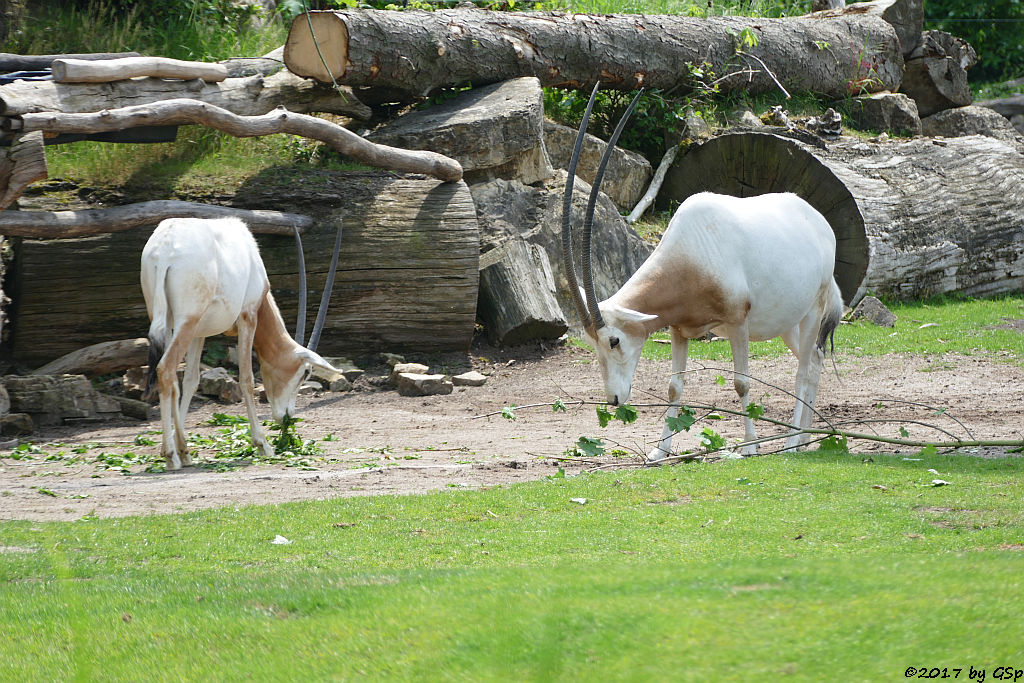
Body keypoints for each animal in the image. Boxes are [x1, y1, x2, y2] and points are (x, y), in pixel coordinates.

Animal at [141, 218, 344, 471]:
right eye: (306, 372)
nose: (287, 417)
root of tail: (165, 248)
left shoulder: (200, 332)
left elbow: (190, 382)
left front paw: (185, 451)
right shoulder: (248, 316)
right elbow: (247, 378)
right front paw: (263, 445)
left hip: (168, 320)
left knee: (170, 377)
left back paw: (176, 452)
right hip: (187, 321)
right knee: (165, 369)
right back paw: (170, 456)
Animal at [565, 83, 843, 458]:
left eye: (614, 340)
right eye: (592, 343)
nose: (614, 399)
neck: (691, 253)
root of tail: (820, 223)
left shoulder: (738, 323)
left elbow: (741, 384)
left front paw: (750, 447)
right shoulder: (679, 329)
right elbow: (674, 387)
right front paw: (659, 452)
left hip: (812, 311)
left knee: (803, 370)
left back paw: (787, 443)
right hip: (788, 323)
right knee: (813, 362)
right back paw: (803, 440)